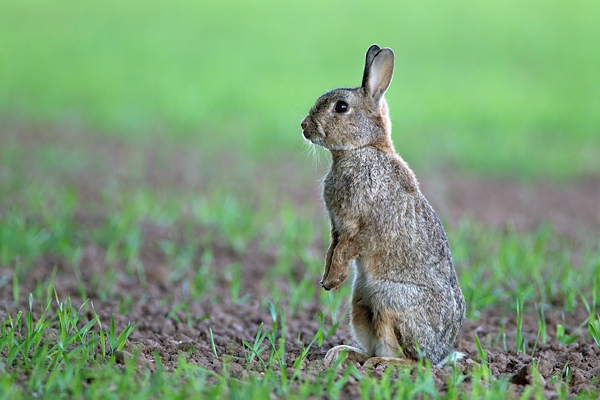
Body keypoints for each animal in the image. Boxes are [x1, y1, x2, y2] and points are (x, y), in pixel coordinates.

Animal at [302, 44, 466, 368]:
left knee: (414, 361)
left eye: (341, 107)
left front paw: (332, 280)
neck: (364, 149)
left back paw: (382, 364)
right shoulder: (337, 228)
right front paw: (326, 280)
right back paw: (343, 354)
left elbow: (345, 249)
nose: (304, 126)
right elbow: (332, 249)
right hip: (360, 302)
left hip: (390, 300)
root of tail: (442, 353)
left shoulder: (358, 226)